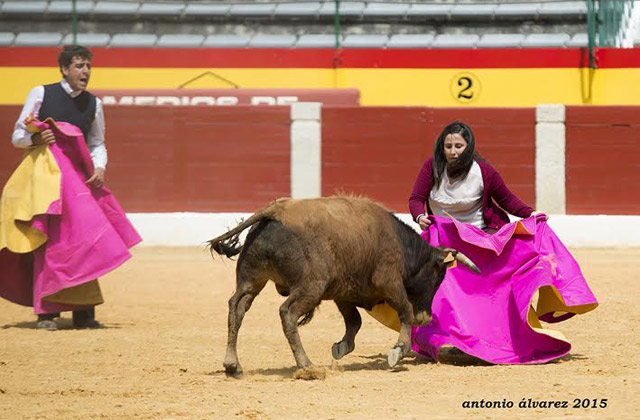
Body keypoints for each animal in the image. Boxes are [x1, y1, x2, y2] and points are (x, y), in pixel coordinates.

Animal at [208, 197, 478, 378]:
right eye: (437, 277)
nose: (427, 317)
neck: (401, 244)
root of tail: (275, 211)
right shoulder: (389, 281)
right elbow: (404, 312)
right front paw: (397, 350)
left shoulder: (344, 293)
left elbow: (354, 321)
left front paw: (341, 348)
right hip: (311, 286)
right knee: (287, 313)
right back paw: (306, 366)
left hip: (252, 279)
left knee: (237, 307)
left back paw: (233, 365)